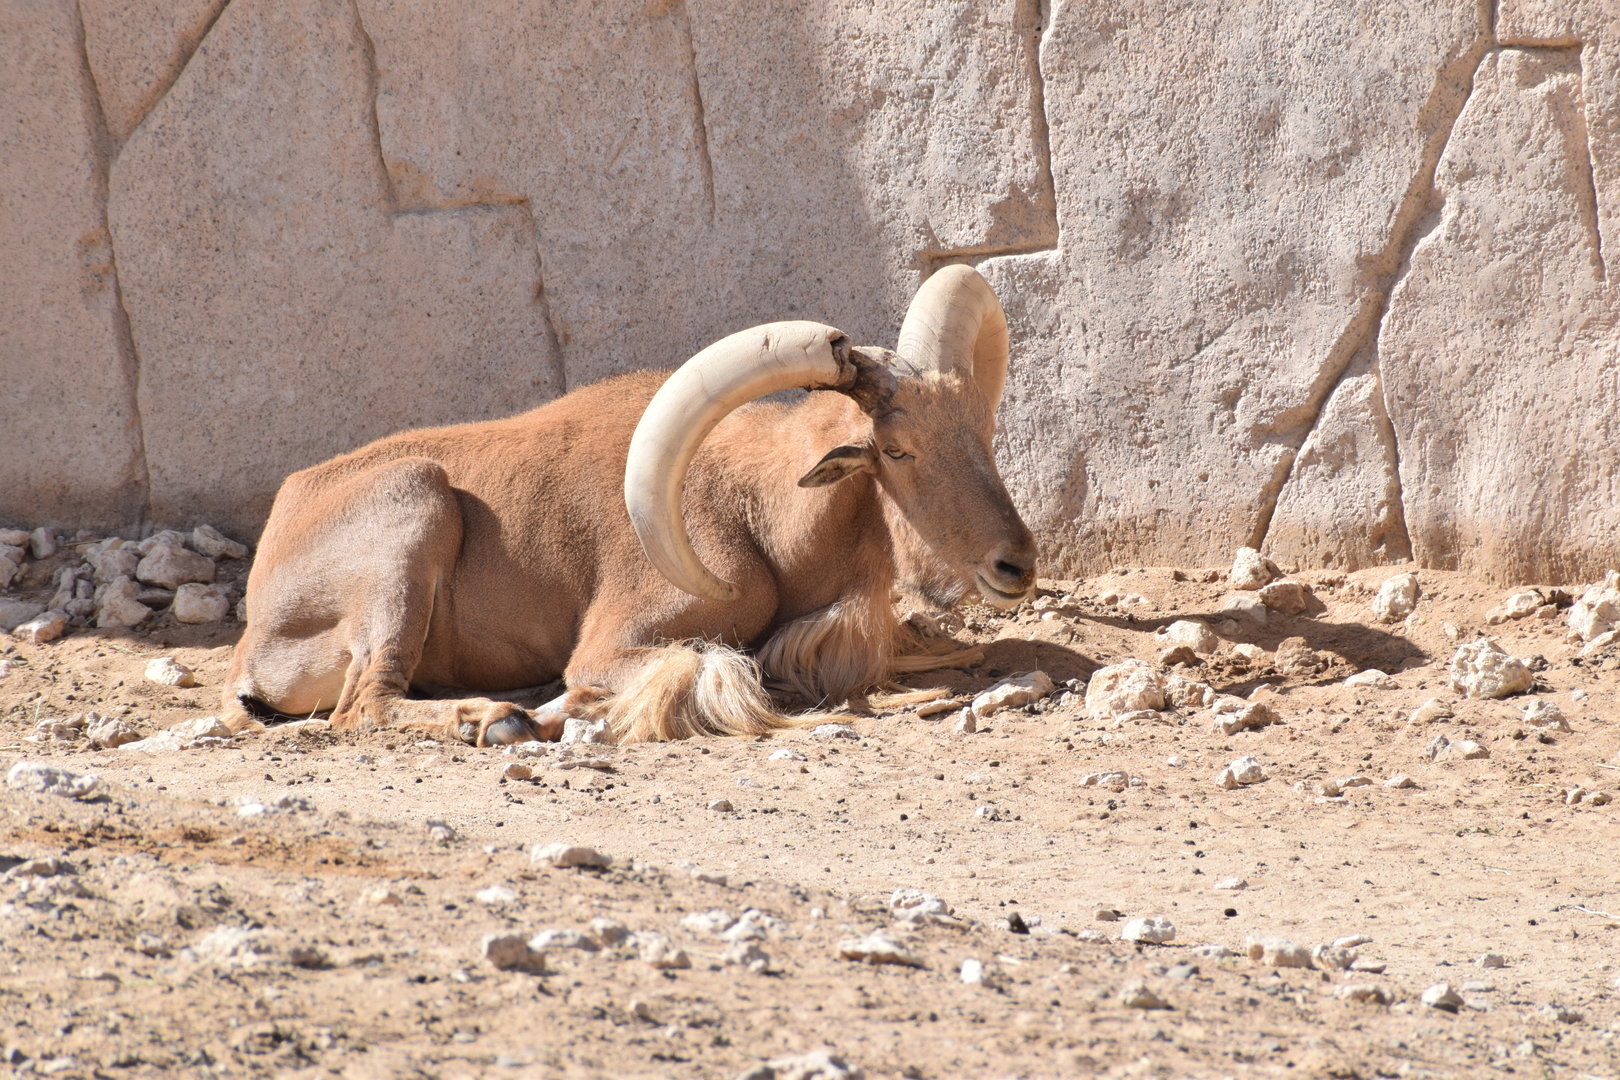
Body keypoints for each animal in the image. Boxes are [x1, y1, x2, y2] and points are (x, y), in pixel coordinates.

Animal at [219, 265, 1037, 744]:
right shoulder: (621, 637)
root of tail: (255, 636)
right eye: (897, 451)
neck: (759, 518)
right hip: (412, 516)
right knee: (366, 705)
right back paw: (498, 718)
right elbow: (694, 666)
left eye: (981, 429)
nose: (1017, 564)